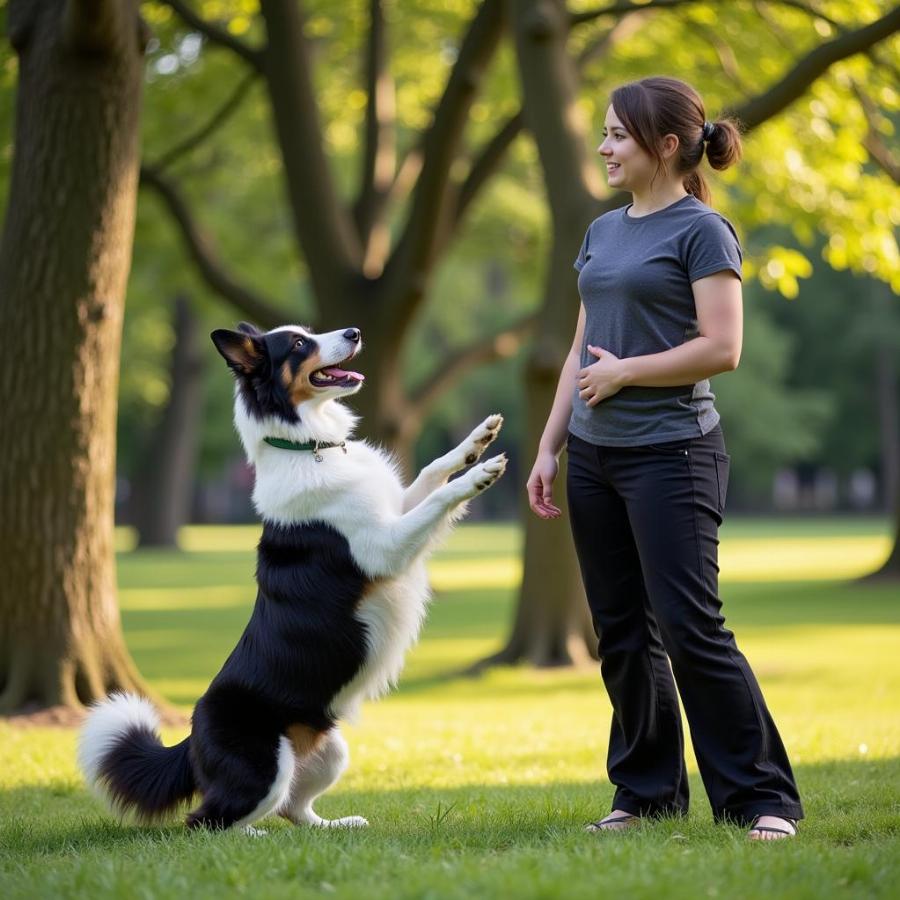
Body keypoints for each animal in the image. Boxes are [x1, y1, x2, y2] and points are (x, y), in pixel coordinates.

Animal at [78, 322, 506, 828]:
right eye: (300, 344)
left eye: (310, 332)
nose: (354, 331)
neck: (311, 447)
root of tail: (190, 738)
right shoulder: (383, 547)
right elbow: (441, 496)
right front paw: (480, 473)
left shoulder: (394, 509)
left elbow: (431, 471)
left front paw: (477, 441)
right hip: (266, 762)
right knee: (208, 820)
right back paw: (252, 836)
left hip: (329, 749)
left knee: (293, 809)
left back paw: (336, 827)